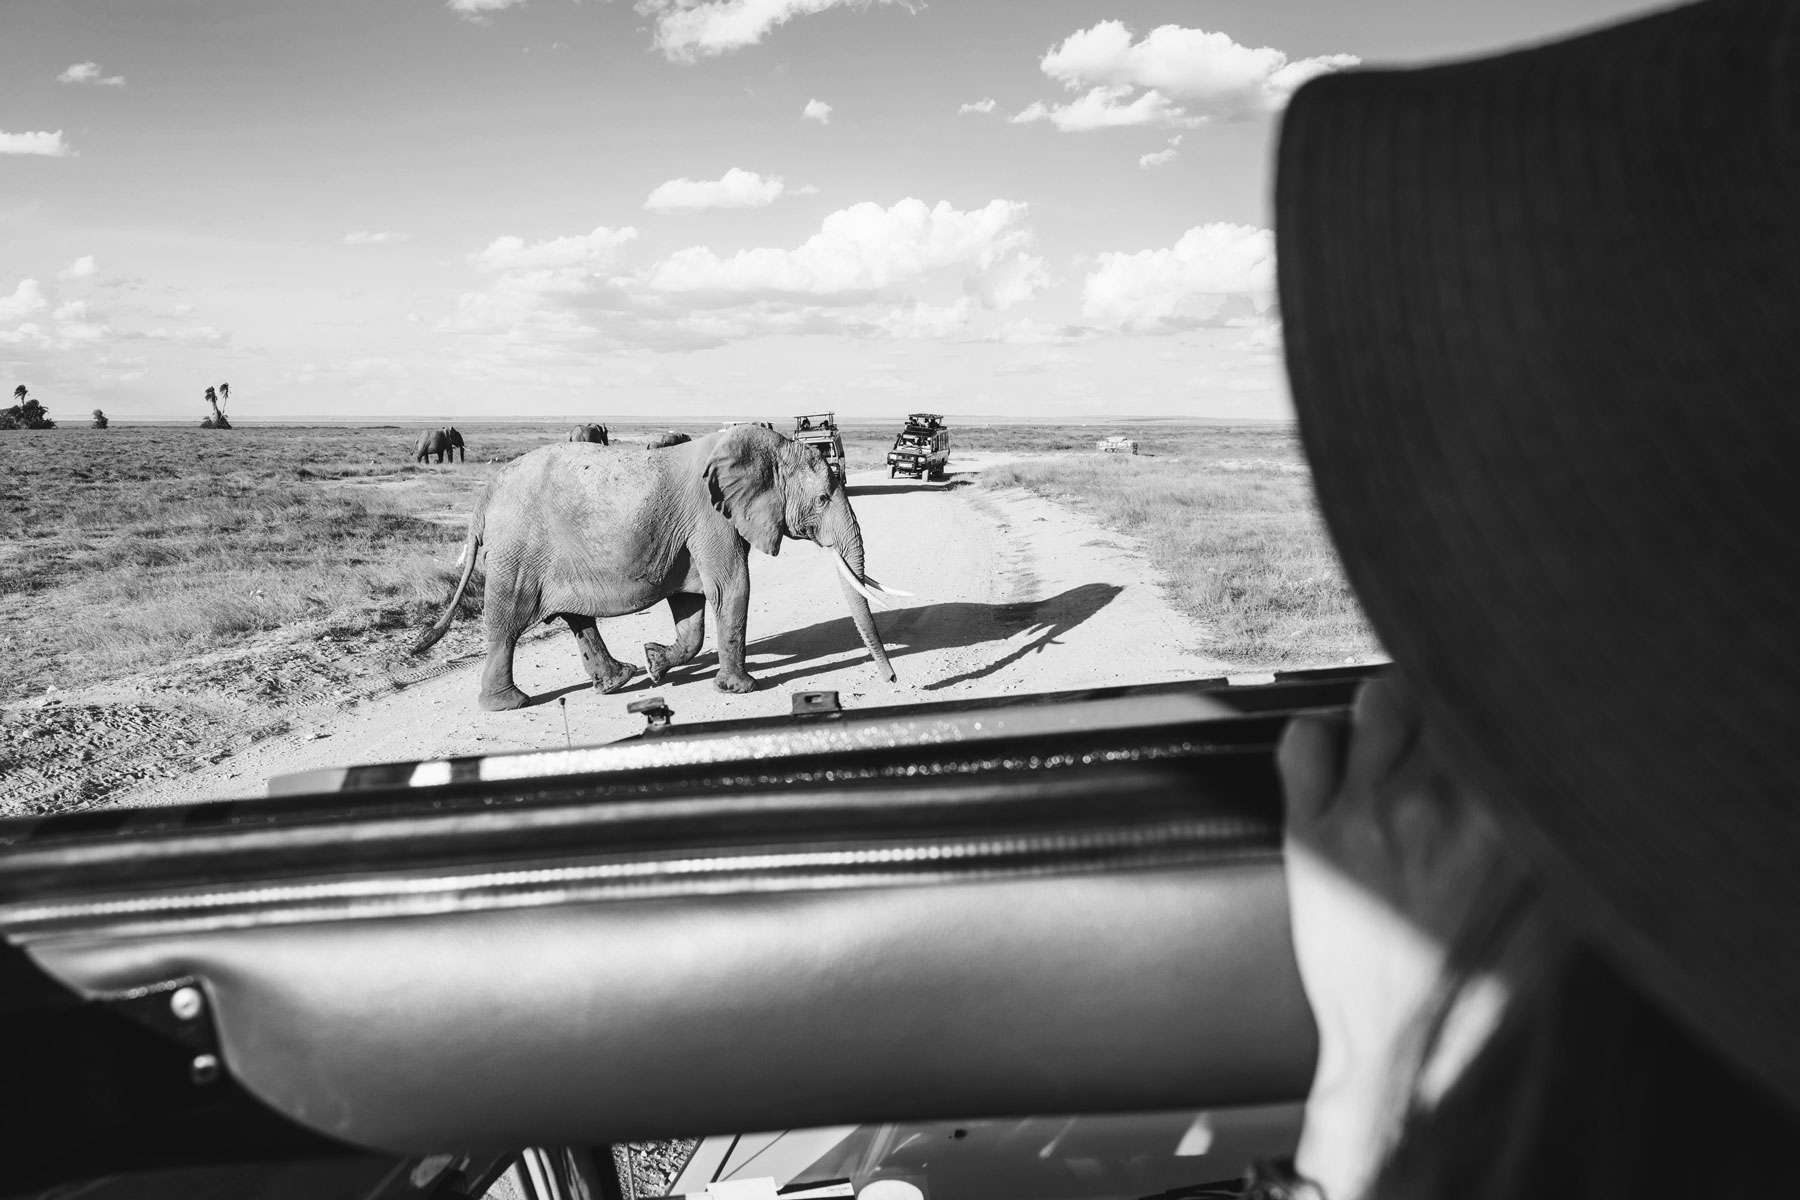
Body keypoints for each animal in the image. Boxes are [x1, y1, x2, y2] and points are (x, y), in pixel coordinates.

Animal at [410, 422, 900, 708]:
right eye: (822, 499)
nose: (893, 680)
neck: (768, 447)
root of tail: (485, 496)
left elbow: (694, 604)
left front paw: (655, 664)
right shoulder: (710, 516)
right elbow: (732, 588)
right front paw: (743, 689)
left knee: (575, 616)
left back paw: (619, 678)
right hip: (519, 550)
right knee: (508, 620)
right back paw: (510, 703)